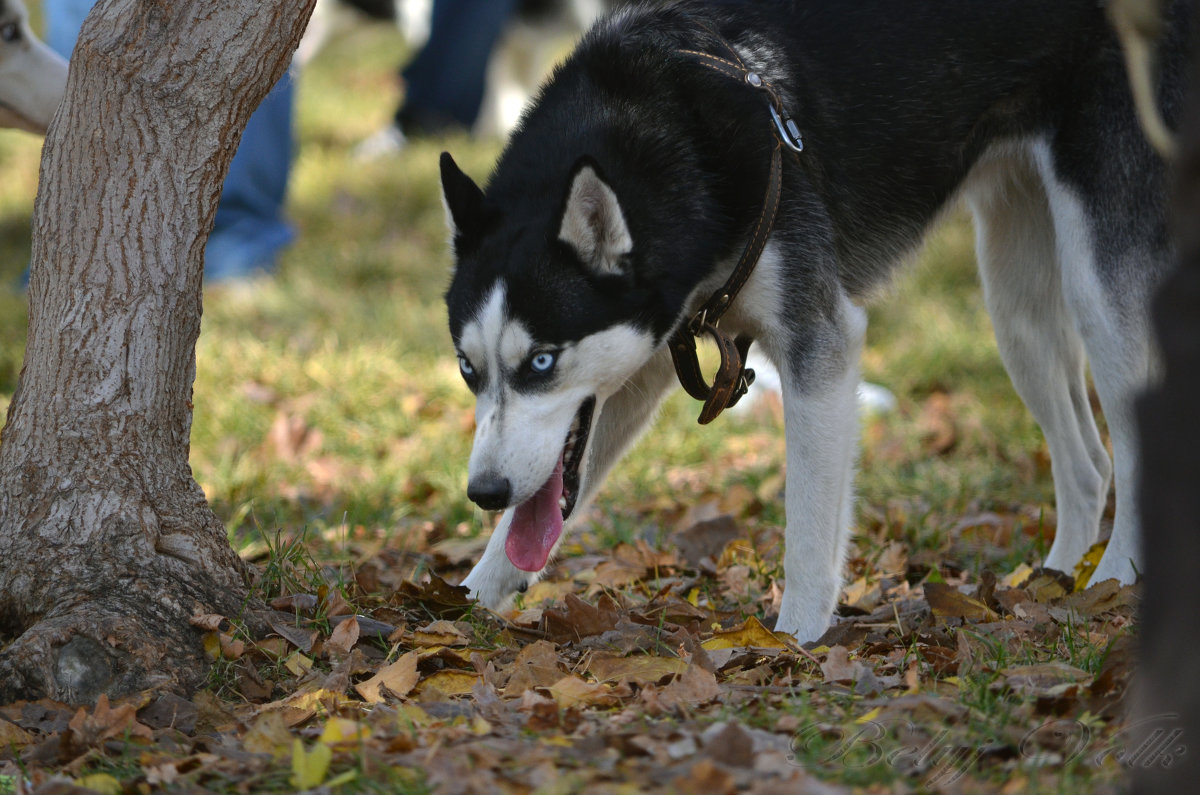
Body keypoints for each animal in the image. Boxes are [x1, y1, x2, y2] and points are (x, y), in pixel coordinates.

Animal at [436, 0, 1185, 643]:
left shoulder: (819, 340)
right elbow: (537, 516)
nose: (483, 491)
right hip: (1014, 307)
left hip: (1098, 290)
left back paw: (1118, 579)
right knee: (1088, 463)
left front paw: (795, 635)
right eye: (468, 369)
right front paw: (467, 600)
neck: (676, 125)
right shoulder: (649, 358)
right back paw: (1060, 580)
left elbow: (808, 520)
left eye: (542, 361)